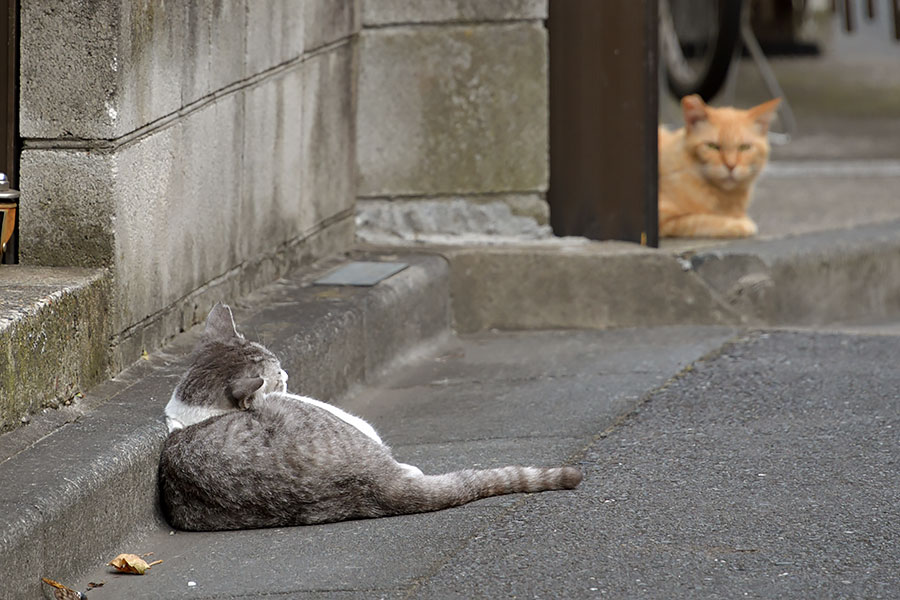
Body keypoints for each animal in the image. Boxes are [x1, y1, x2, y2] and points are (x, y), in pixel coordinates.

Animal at [656, 95, 784, 238]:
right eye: (713, 146)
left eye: (744, 147)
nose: (731, 166)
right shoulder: (664, 217)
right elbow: (700, 219)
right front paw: (739, 224)